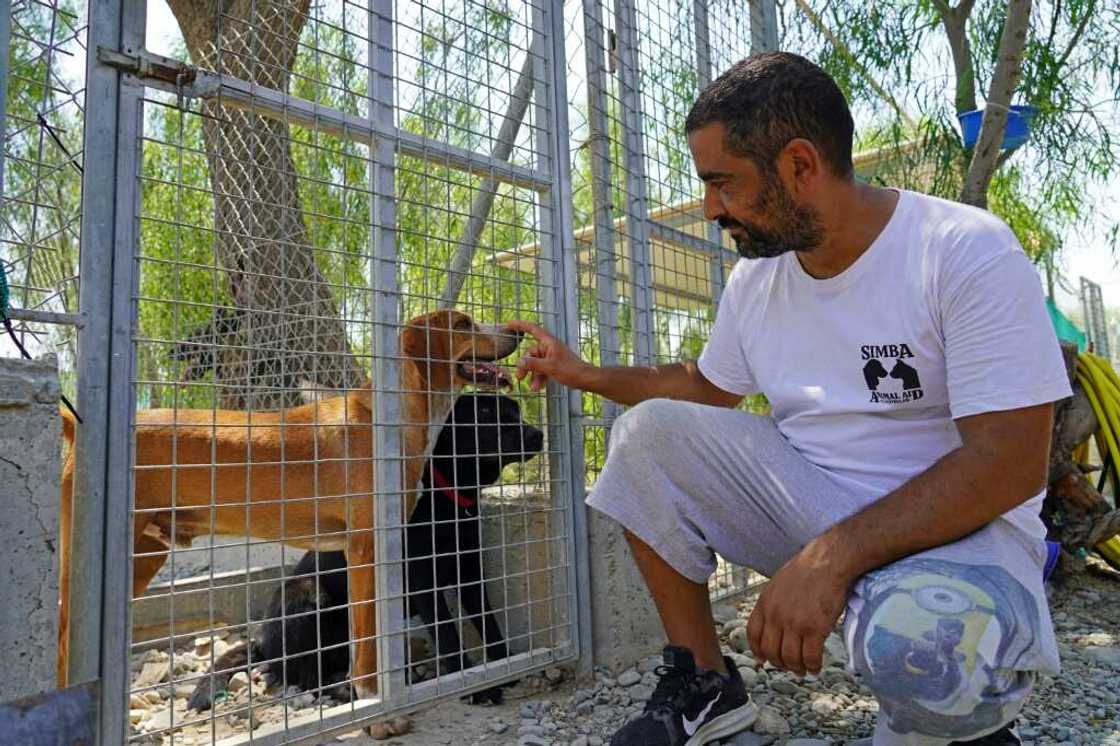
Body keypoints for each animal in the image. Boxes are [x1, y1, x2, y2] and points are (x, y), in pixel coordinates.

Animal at [185, 392, 544, 707]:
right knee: (307, 679)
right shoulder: (423, 582)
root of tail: (258, 641)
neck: (447, 496)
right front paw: (475, 686)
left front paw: (504, 665)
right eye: (485, 413)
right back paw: (346, 692)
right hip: (308, 595)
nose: (537, 434)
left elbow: (490, 625)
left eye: (516, 410)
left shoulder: (469, 573)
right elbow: (448, 635)